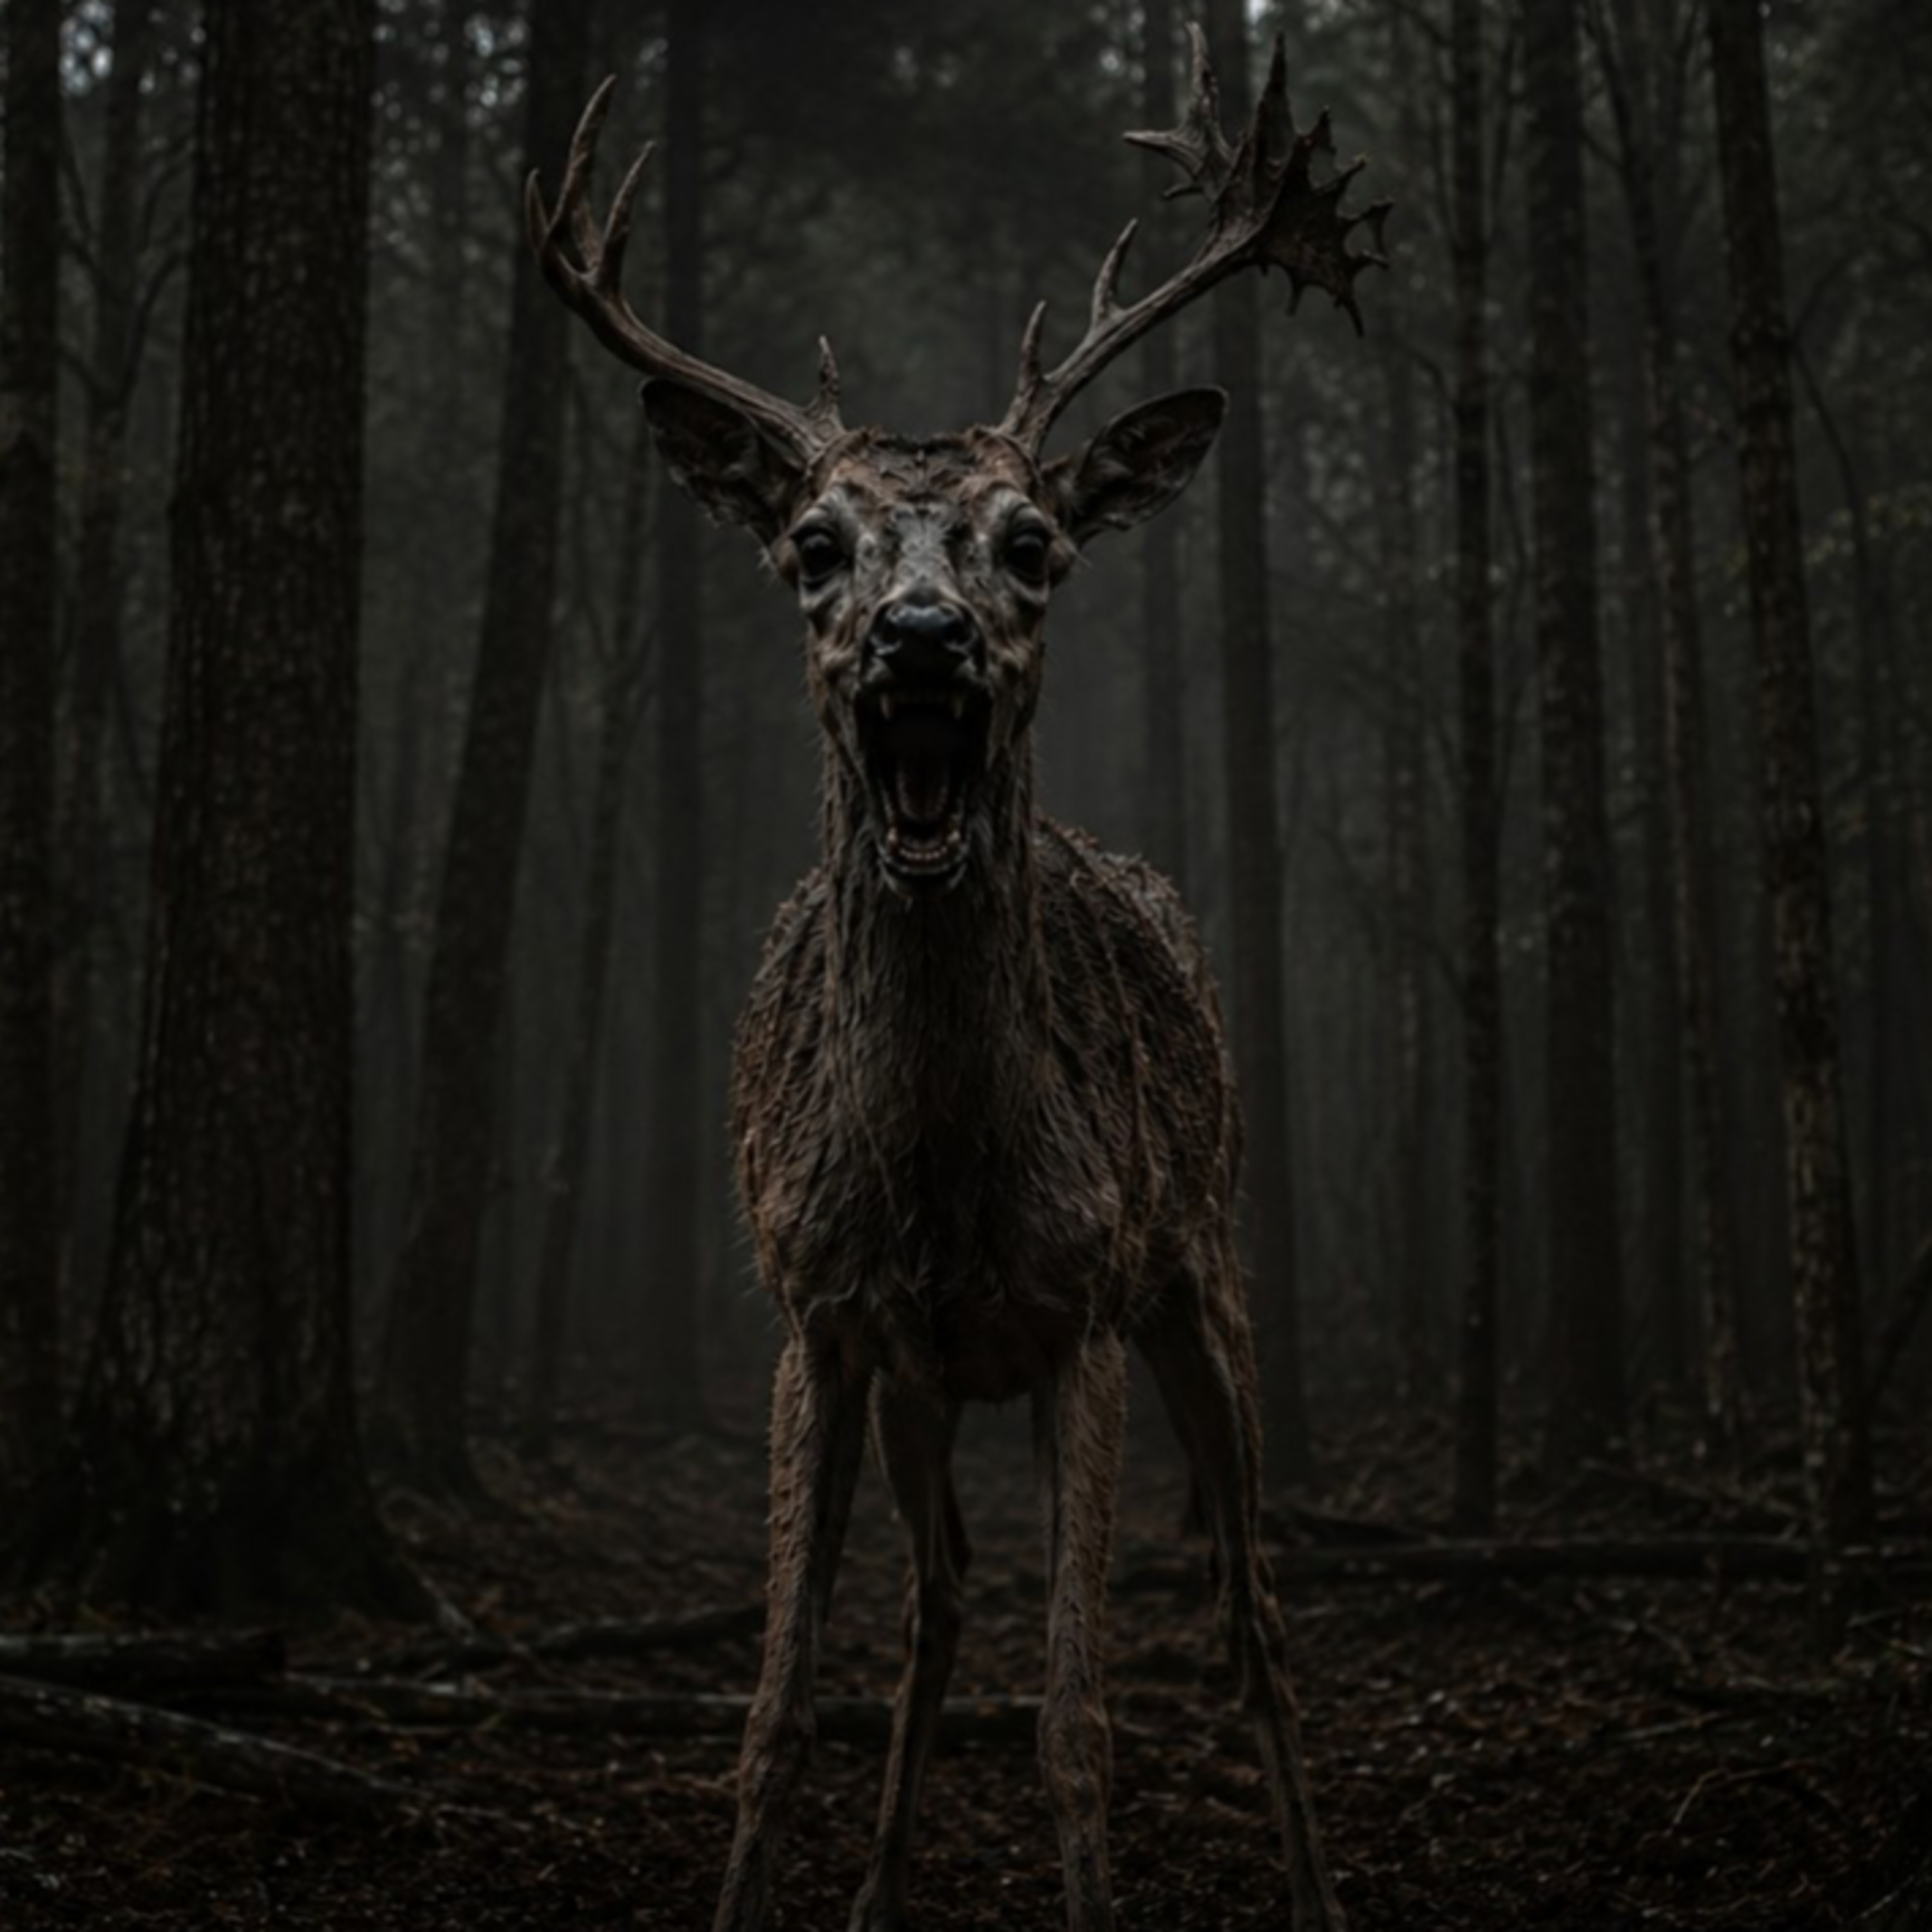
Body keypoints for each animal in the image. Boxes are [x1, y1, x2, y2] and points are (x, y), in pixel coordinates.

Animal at [529, 29, 1386, 1932]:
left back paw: (1318, 1884)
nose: (920, 643)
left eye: (1031, 544)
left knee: (1258, 1618)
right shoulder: (820, 1317)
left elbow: (1077, 1720)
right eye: (813, 545)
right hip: (930, 1382)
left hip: (1206, 1274)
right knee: (936, 1591)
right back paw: (872, 1892)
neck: (940, 1181)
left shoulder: (1082, 1306)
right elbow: (778, 1707)